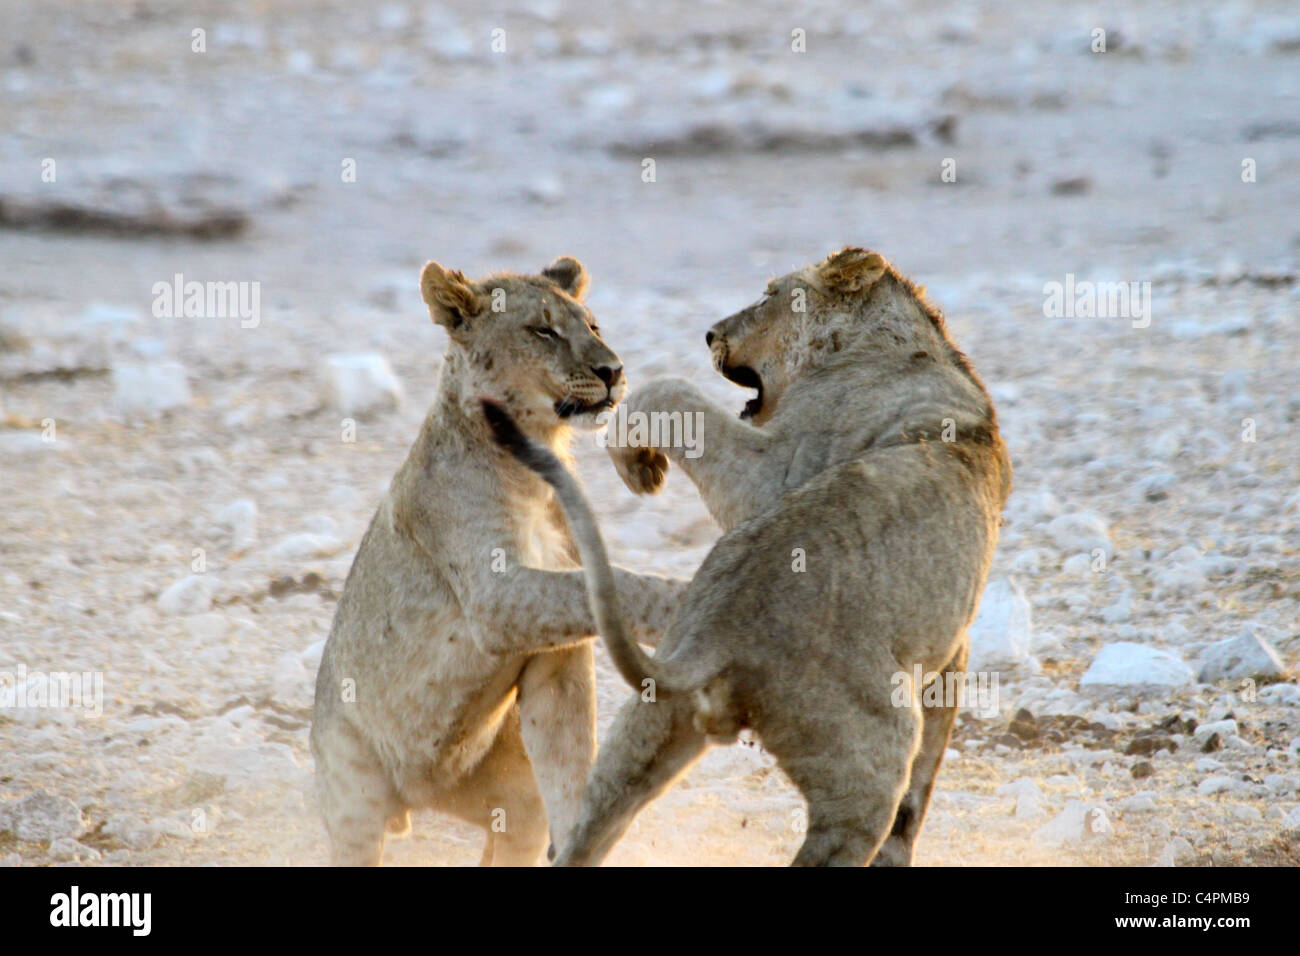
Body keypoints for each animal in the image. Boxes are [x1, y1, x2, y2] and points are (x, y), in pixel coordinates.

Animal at [310, 254, 686, 868]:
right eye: (543, 331)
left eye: (593, 324)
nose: (613, 370)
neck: (534, 463)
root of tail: (421, 798)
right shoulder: (494, 598)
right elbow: (612, 583)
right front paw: (686, 598)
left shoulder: (556, 659)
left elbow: (568, 756)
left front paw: (582, 836)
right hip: (352, 797)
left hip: (513, 801)